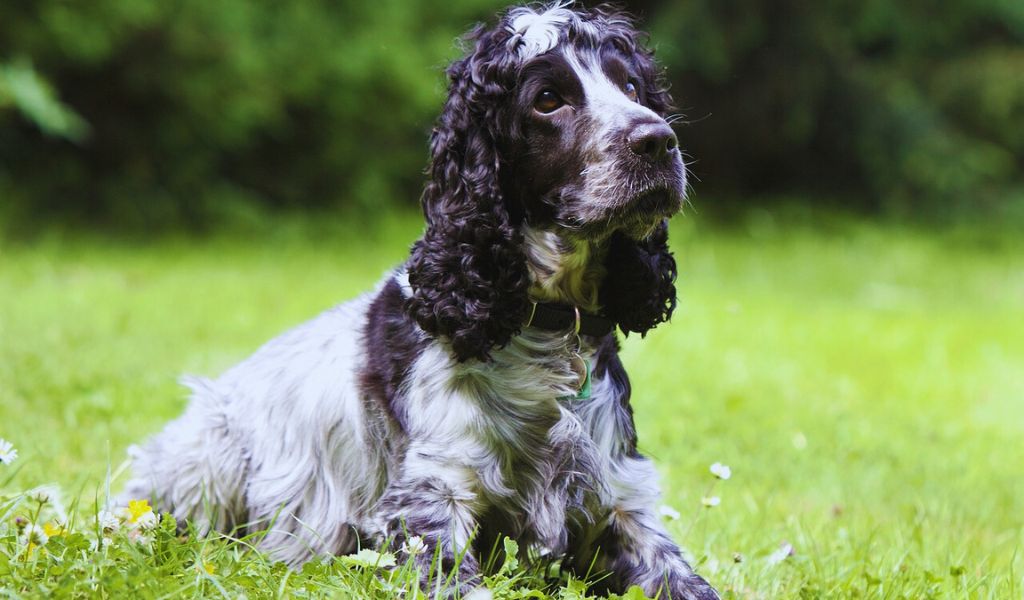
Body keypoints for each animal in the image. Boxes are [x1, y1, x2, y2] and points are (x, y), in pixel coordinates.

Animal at [123, 4, 720, 597]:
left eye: (632, 87)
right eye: (548, 99)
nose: (657, 140)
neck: (544, 328)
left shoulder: (620, 501)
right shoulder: (430, 503)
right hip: (208, 459)